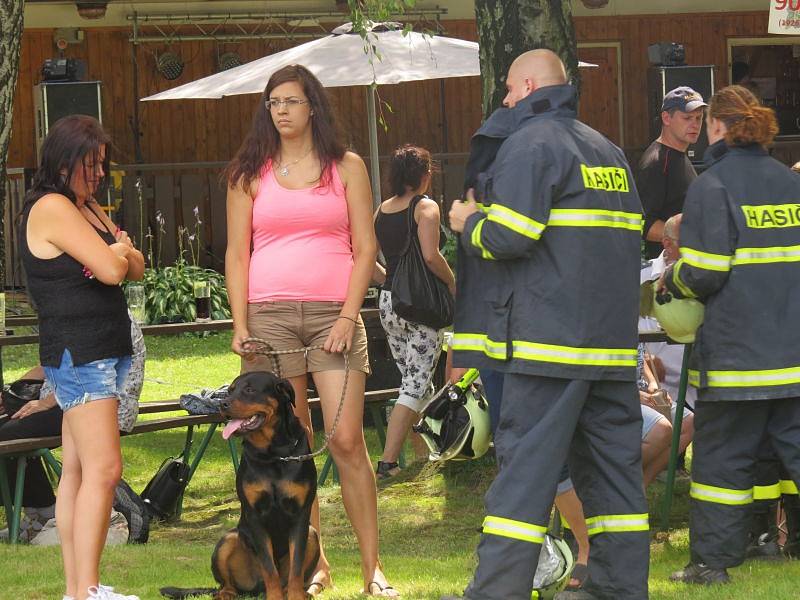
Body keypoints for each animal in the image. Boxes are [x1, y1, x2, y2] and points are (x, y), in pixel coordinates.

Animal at [161, 370, 320, 600]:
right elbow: (268, 566)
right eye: (229, 391)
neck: (274, 453)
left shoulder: (300, 515)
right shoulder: (255, 514)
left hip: (313, 535)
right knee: (228, 584)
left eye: (250, 389)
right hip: (228, 540)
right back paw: (227, 594)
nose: (223, 404)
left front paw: (296, 595)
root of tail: (256, 590)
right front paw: (274, 597)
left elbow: (296, 566)